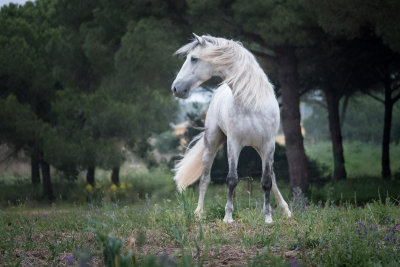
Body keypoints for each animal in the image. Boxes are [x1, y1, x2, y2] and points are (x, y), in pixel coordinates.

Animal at [171, 34, 290, 225]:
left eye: (194, 58)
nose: (176, 88)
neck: (251, 103)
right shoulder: (234, 143)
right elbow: (232, 179)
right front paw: (228, 217)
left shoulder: (268, 144)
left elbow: (267, 181)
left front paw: (268, 218)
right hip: (212, 143)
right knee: (205, 179)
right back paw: (198, 213)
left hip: (260, 148)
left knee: (273, 177)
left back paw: (286, 210)